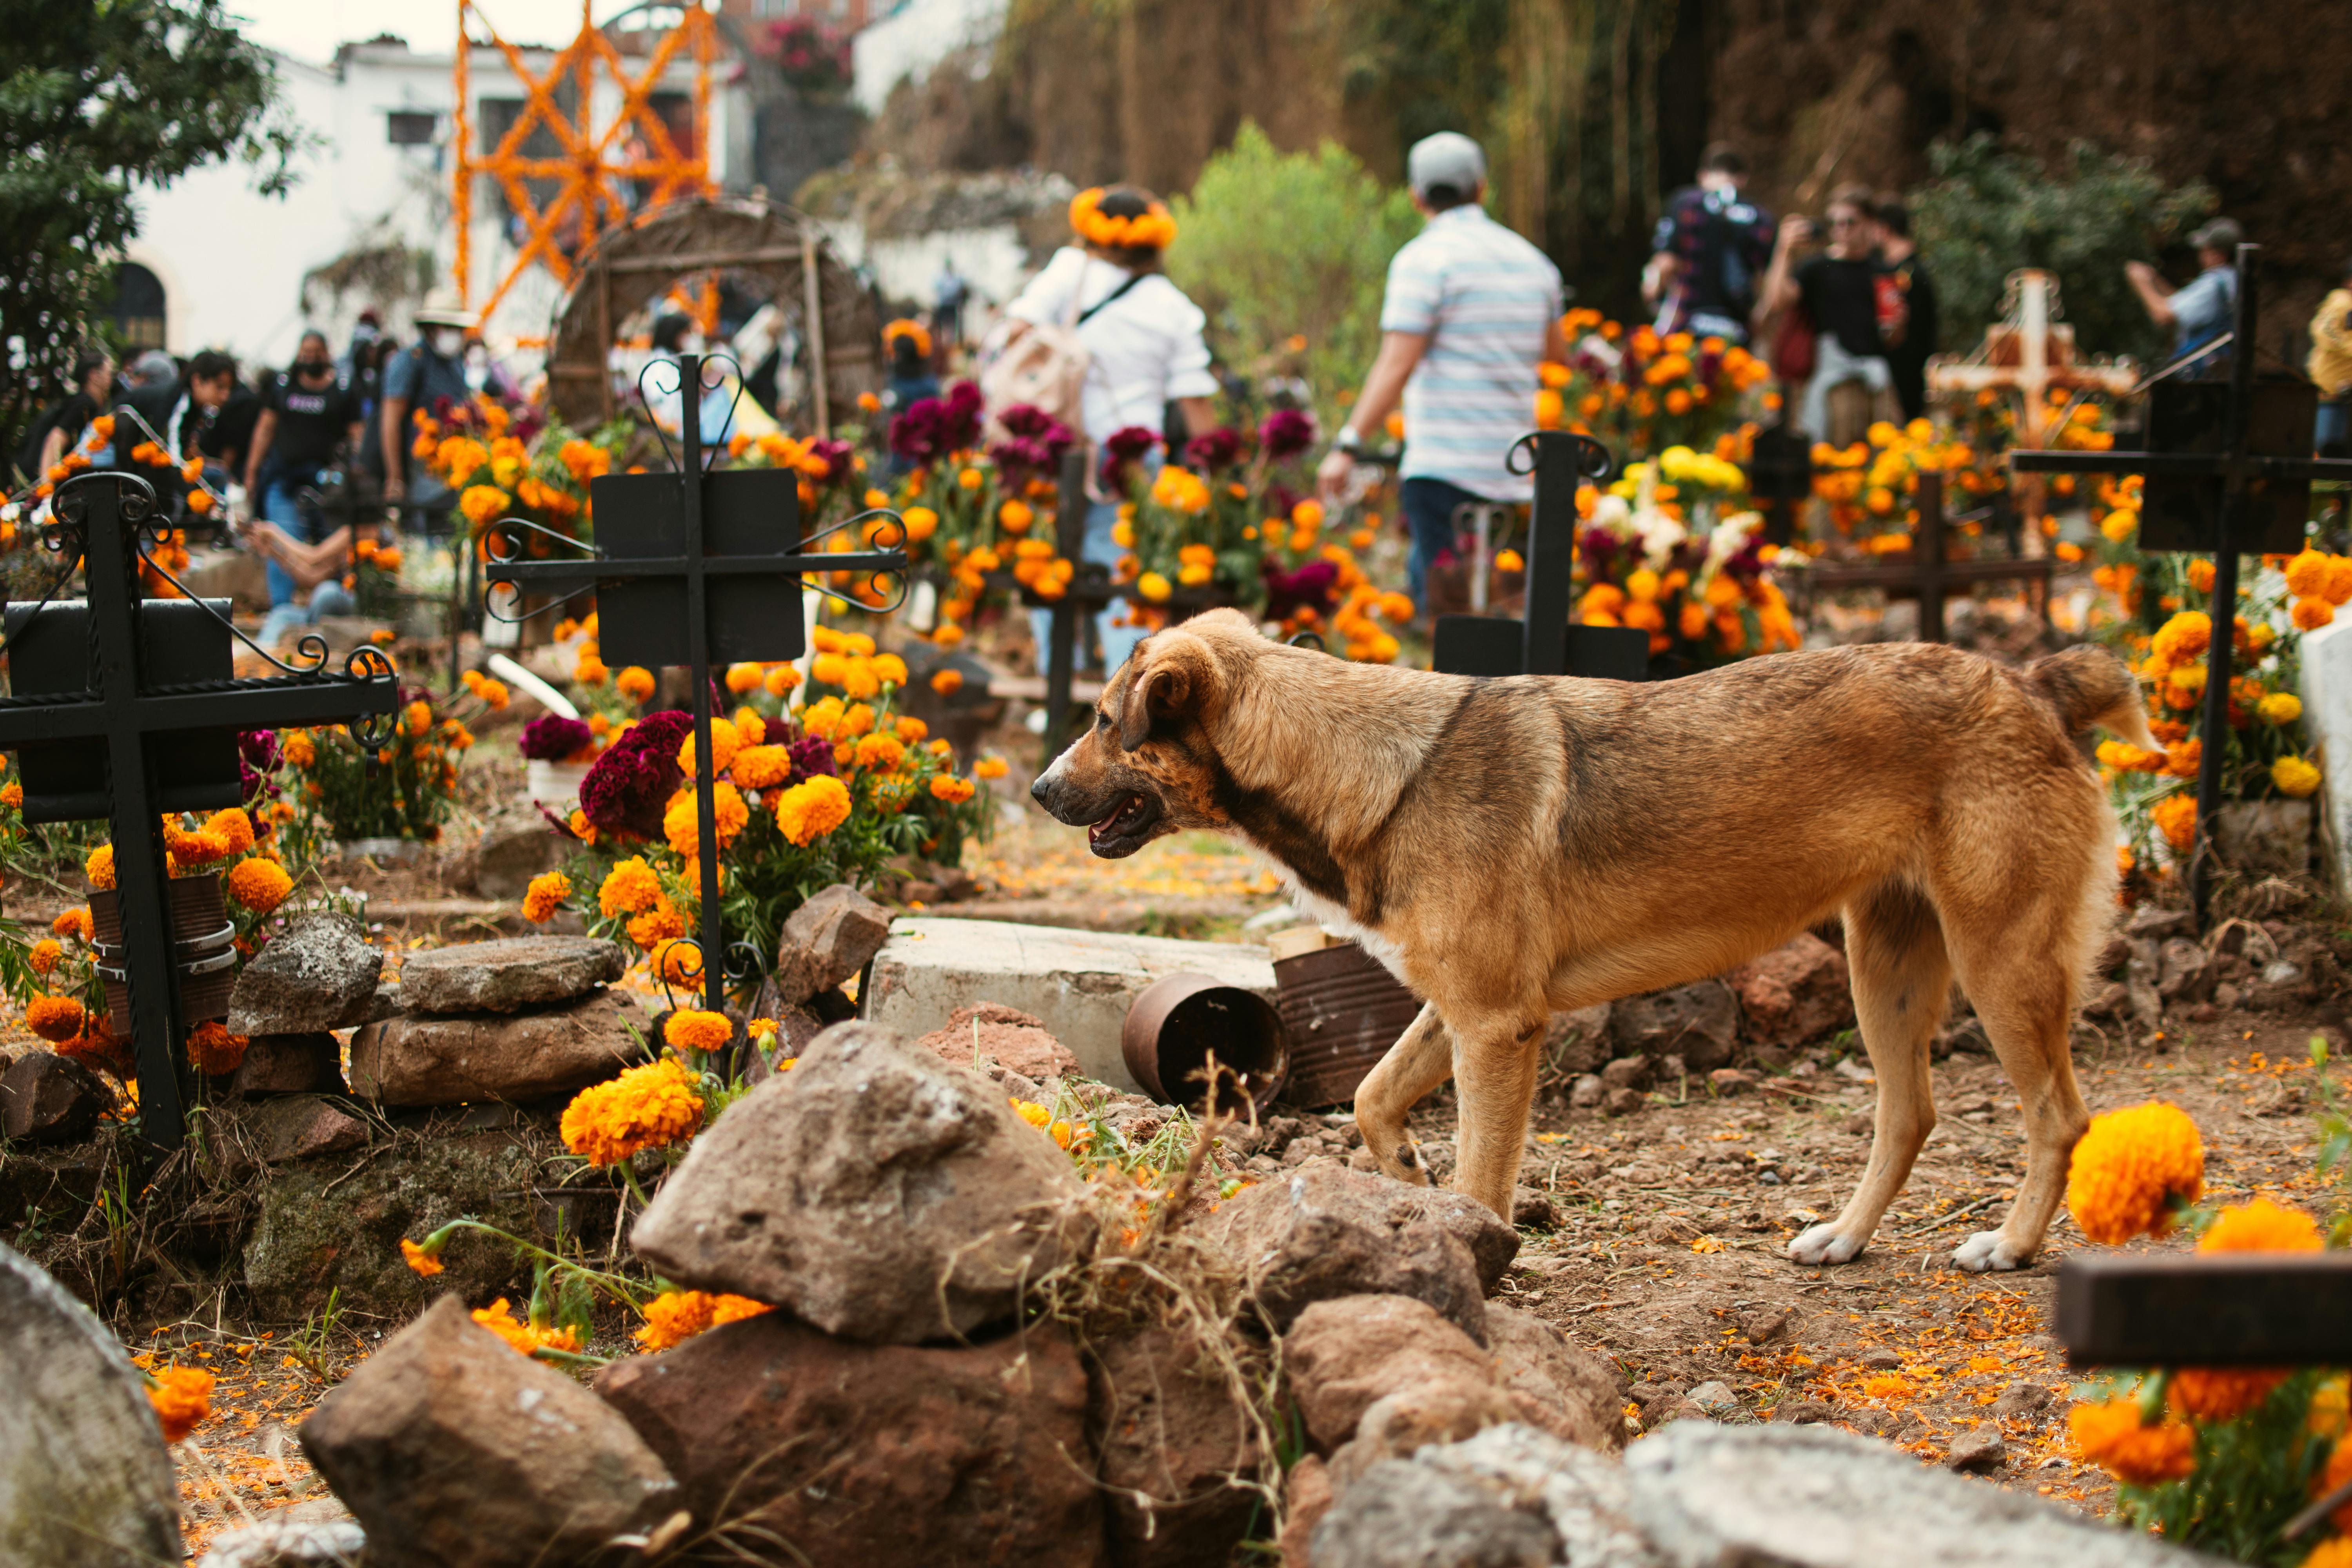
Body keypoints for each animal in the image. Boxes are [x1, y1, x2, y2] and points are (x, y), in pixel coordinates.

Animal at [1030, 606, 2154, 1269]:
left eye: (1104, 720)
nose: (1037, 789)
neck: (1370, 766)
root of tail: (2031, 686)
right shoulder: (1460, 1013)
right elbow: (1371, 1096)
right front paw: (1409, 1189)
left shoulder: (1497, 1030)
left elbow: (1484, 1175)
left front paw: (1474, 1260)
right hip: (1887, 971)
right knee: (1910, 1115)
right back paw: (1843, 1237)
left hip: (2000, 965)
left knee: (2060, 1116)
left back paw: (2011, 1245)